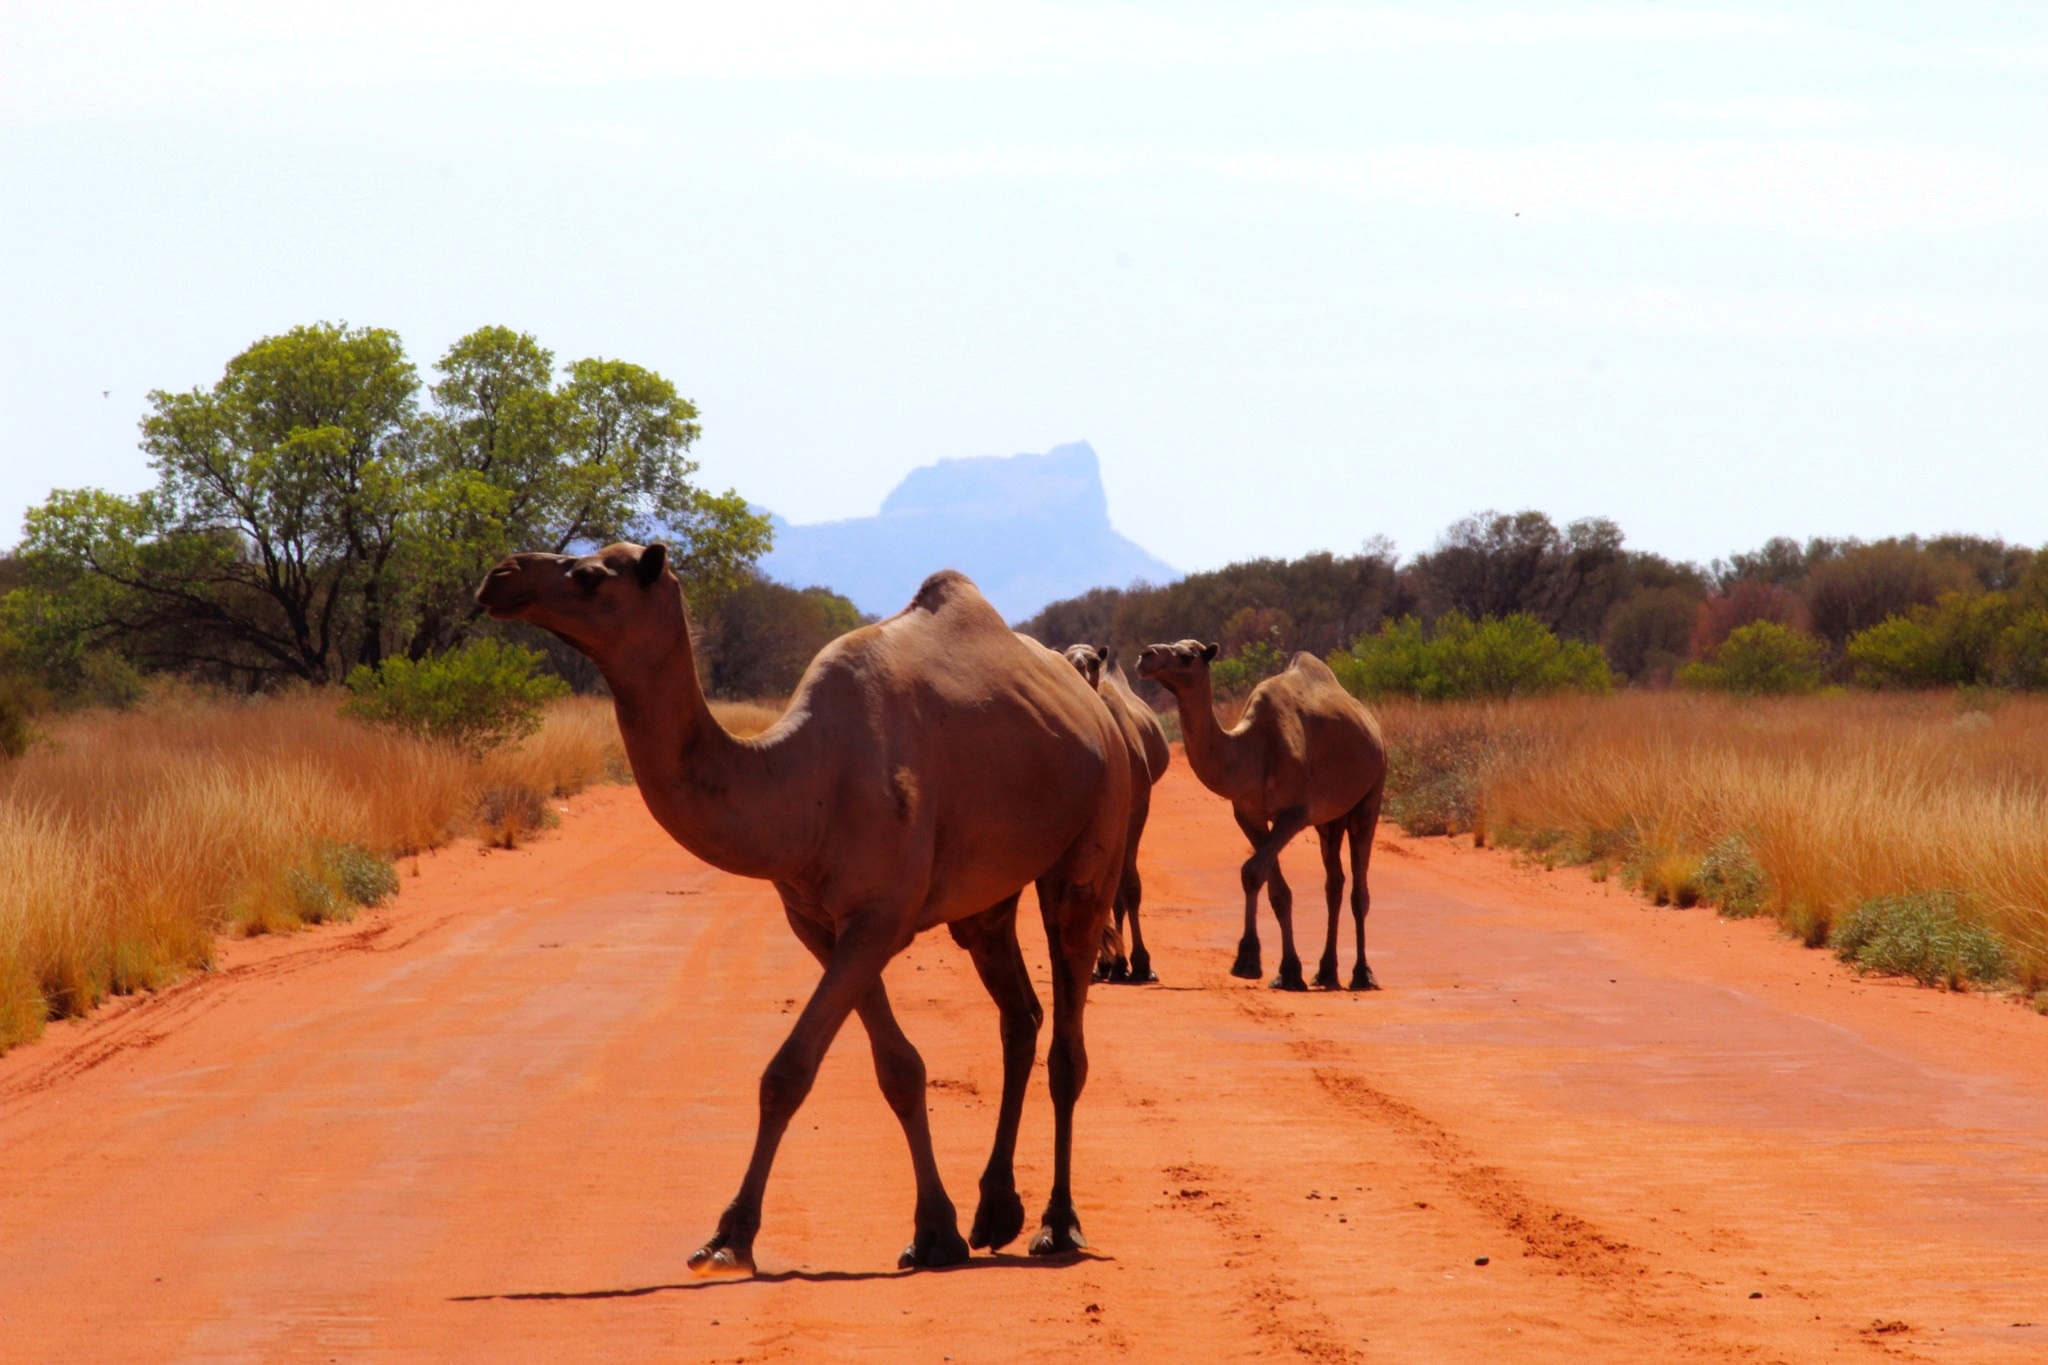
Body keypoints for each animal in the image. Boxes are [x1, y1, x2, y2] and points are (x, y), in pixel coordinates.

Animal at [477, 544, 1129, 1275]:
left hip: (1095, 836)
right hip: (986, 900)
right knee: (1020, 1015)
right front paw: (935, 1232)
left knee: (1067, 1036)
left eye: (591, 575)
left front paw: (729, 1237)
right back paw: (995, 1211)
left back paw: (1058, 1223)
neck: (805, 778)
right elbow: (899, 1068)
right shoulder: (820, 922)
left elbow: (789, 1070)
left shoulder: (878, 916)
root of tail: (1098, 711)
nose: (500, 576)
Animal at [1060, 645, 1171, 983]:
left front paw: (1142, 963)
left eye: (1094, 662)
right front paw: (1111, 961)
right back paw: (1111, 964)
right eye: (1066, 658)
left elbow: (1129, 885)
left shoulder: (1138, 806)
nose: (1078, 674)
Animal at [1135, 640, 1387, 992]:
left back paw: (1362, 973)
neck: (1252, 750)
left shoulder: (1293, 814)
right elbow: (1273, 887)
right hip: (1330, 818)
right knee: (1334, 882)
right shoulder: (1249, 815)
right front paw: (1288, 971)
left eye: (1186, 656)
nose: (1145, 656)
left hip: (1370, 796)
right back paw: (1325, 972)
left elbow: (1253, 870)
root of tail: (1373, 726)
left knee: (1358, 889)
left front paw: (1248, 961)